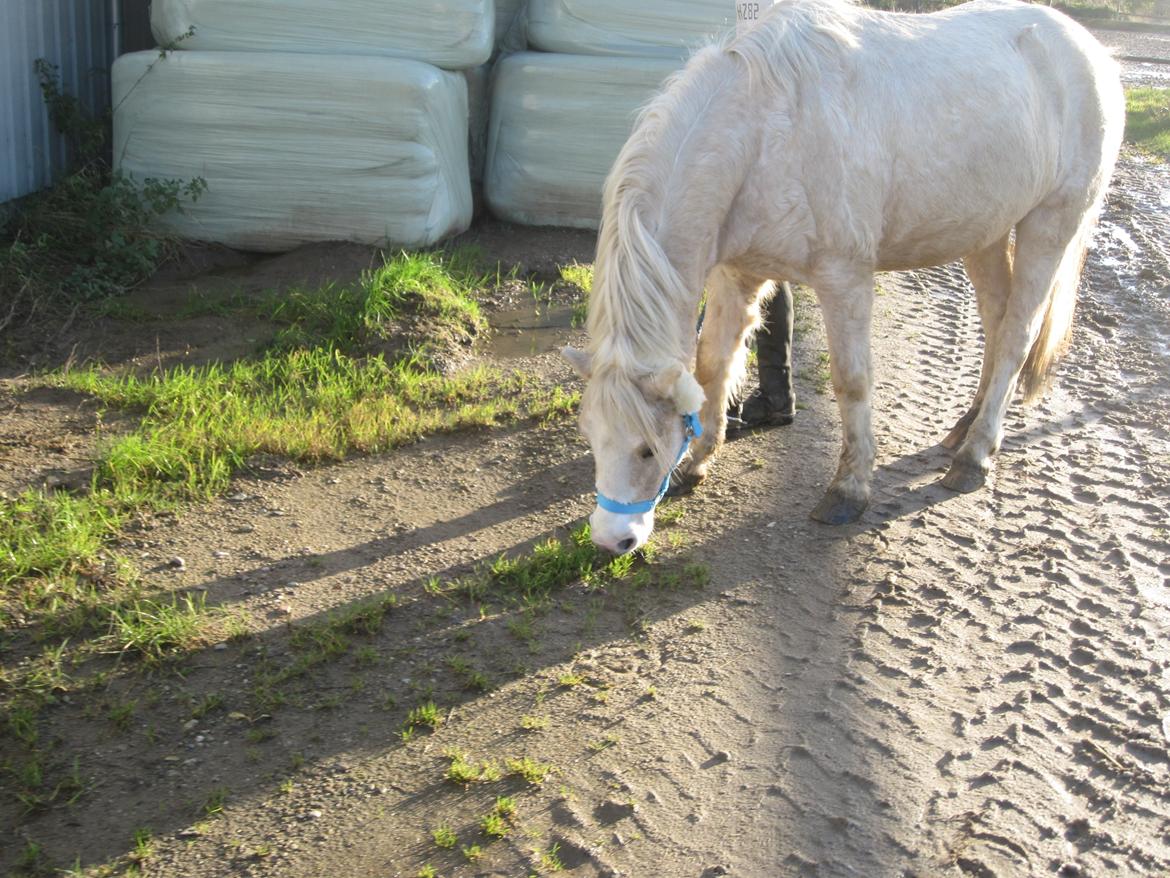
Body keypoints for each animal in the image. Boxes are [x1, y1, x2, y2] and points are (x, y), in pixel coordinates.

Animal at [562, 0, 1124, 555]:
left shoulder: (844, 278)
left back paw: (975, 456)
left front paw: (849, 489)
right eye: (591, 437)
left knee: (1016, 336)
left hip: (1050, 225)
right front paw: (699, 461)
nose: (613, 539)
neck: (765, 130)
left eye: (645, 449)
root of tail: (1090, 49)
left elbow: (851, 382)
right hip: (985, 233)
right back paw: (965, 428)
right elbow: (712, 365)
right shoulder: (736, 274)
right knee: (996, 320)